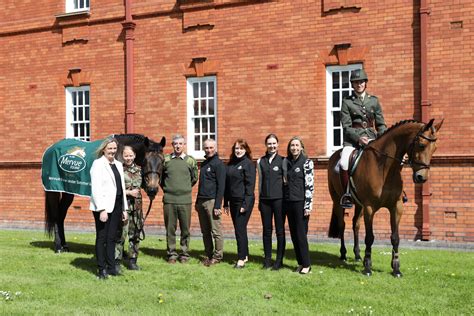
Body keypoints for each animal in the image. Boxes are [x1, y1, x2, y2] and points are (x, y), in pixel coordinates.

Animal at [328, 118, 442, 276]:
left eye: (435, 148)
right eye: (421, 145)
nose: (422, 178)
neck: (384, 167)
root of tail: (334, 155)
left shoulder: (396, 207)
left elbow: (395, 238)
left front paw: (396, 268)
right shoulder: (369, 208)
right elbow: (369, 237)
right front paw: (368, 267)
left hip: (359, 205)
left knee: (355, 224)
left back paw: (357, 255)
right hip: (338, 201)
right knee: (342, 225)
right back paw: (344, 254)